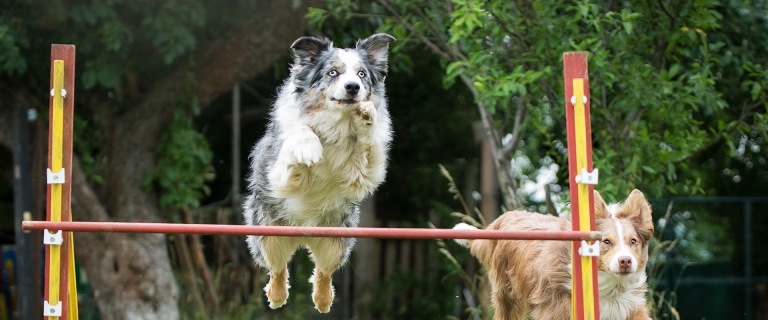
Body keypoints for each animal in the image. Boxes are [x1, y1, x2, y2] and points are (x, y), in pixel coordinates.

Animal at [452, 190, 656, 320]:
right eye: (606, 241)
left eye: (633, 241)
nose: (625, 261)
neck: (609, 285)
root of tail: (500, 220)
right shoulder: (556, 308)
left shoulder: (629, 306)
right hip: (507, 295)